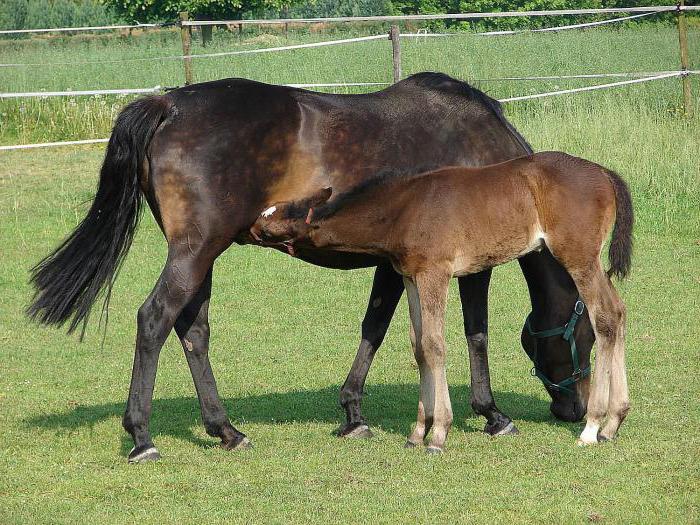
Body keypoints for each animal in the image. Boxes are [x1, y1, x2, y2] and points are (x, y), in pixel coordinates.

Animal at [253, 151, 636, 450]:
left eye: (274, 222)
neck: (405, 208)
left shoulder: (435, 273)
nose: (250, 227)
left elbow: (435, 345)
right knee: (618, 312)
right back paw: (613, 423)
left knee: (604, 316)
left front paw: (438, 433)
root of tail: (605, 173)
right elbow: (419, 345)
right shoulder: (411, 277)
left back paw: (592, 426)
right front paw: (417, 432)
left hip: (579, 258)